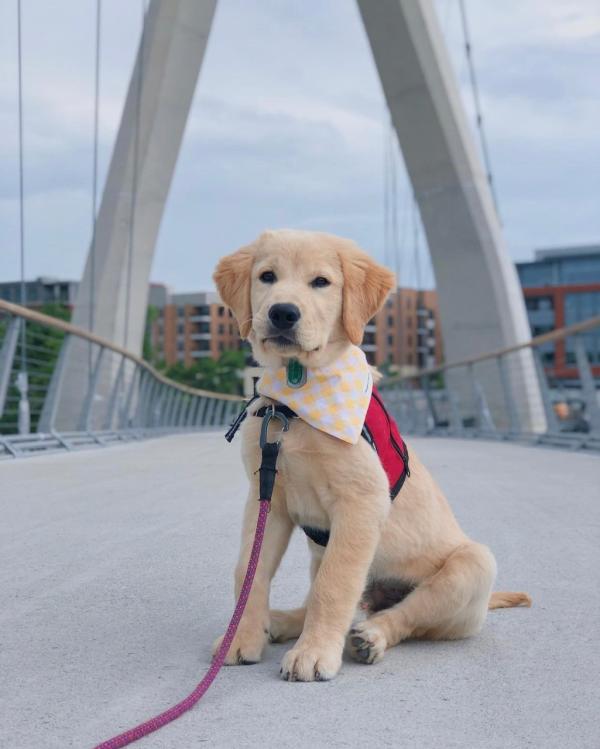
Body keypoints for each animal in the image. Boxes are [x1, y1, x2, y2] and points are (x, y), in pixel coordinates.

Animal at [212, 228, 528, 676]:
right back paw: (282, 621)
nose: (283, 313)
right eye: (267, 276)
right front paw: (240, 638)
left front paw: (313, 653)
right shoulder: (267, 497)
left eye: (321, 282)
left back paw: (369, 638)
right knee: (331, 603)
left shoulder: (360, 504)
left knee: (405, 616)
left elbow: (334, 584)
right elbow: (249, 571)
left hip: (474, 565)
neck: (296, 400)